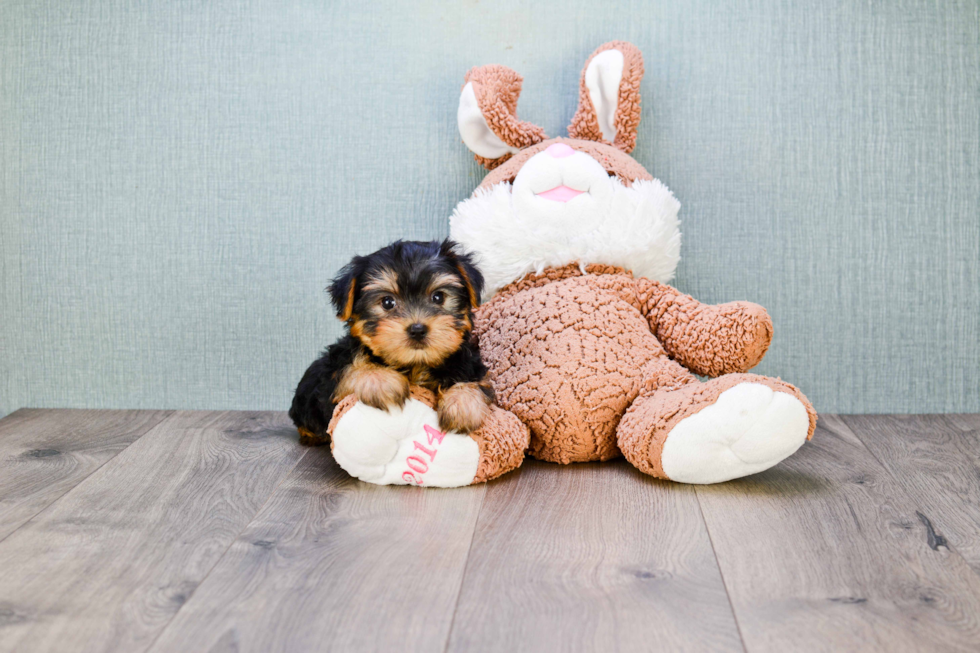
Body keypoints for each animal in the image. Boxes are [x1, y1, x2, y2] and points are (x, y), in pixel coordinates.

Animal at [290, 242, 490, 446]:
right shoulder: (331, 375)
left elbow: (475, 380)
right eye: (387, 302)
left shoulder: (470, 363)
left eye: (438, 297)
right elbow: (347, 369)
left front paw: (462, 404)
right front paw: (379, 379)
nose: (417, 329)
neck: (416, 364)